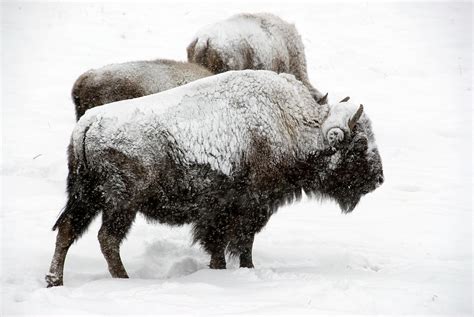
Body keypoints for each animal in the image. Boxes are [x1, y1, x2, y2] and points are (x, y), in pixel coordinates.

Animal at [46, 69, 384, 286]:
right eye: (360, 144)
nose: (379, 178)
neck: (290, 126)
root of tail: (88, 123)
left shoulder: (220, 214)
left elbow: (222, 245)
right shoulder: (246, 209)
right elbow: (239, 243)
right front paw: (242, 270)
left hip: (87, 197)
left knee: (68, 231)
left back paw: (55, 281)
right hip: (121, 203)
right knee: (107, 238)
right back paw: (123, 280)